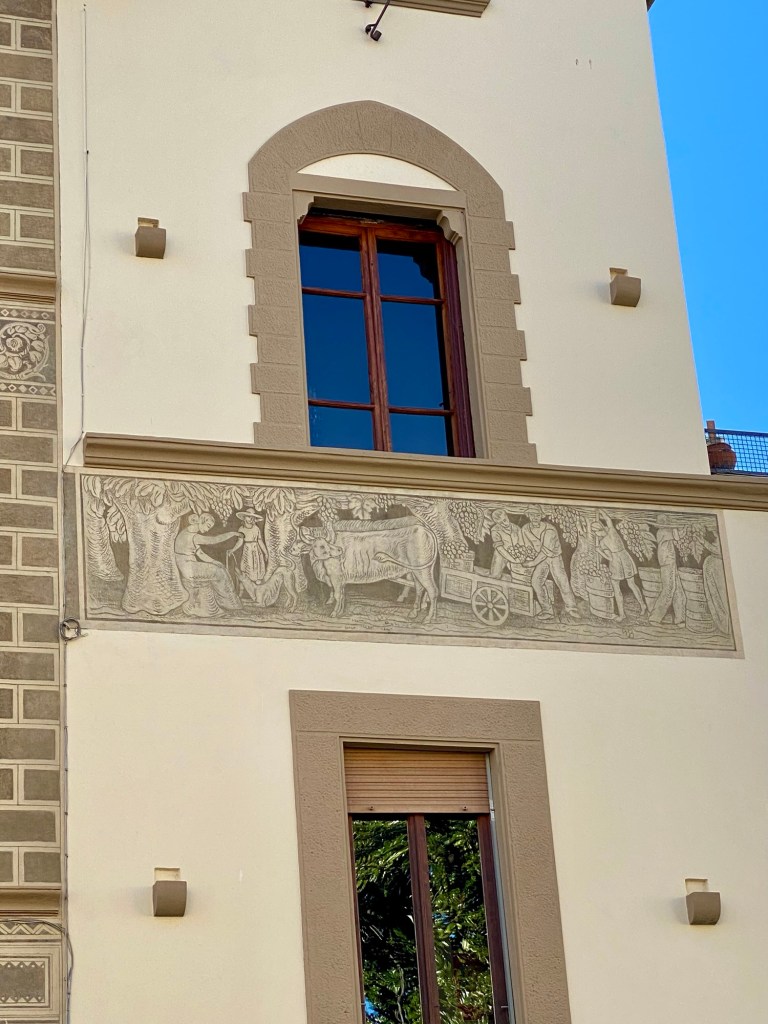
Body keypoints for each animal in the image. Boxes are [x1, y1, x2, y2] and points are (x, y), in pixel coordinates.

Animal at [295, 517, 439, 622]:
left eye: (323, 545)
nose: (292, 549)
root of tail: (423, 529)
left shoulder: (335, 577)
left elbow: (337, 595)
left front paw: (334, 613)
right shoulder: (341, 579)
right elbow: (342, 595)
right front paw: (340, 611)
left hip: (422, 570)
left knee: (432, 590)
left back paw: (428, 618)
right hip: (418, 571)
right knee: (420, 588)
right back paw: (414, 612)